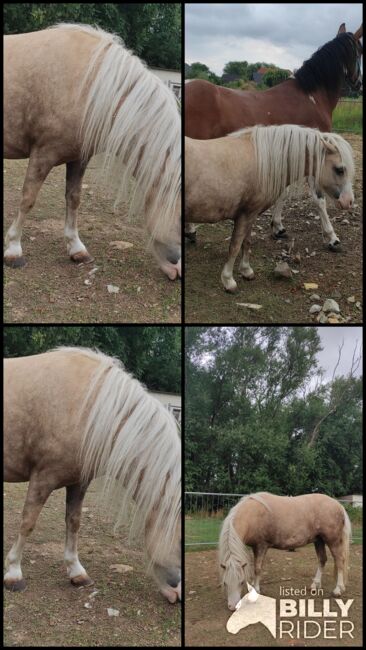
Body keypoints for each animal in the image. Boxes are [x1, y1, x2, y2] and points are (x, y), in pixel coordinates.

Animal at [2, 24, 180, 278]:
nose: (177, 268)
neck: (90, 87)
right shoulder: (43, 154)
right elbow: (28, 199)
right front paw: (14, 249)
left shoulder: (79, 158)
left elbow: (74, 199)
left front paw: (76, 249)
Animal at [2, 346, 180, 600]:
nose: (177, 591)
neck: (90, 409)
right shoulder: (43, 477)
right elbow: (28, 522)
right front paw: (14, 573)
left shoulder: (79, 482)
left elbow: (74, 523)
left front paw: (76, 572)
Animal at [184, 23, 362, 251]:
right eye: (360, 52)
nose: (359, 83)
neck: (311, 96)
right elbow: (318, 199)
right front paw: (331, 237)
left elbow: (282, 192)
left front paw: (278, 227)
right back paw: (190, 231)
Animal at [186, 123, 354, 288]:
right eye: (339, 169)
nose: (349, 201)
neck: (261, 162)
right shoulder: (245, 215)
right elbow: (235, 245)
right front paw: (228, 280)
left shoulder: (250, 214)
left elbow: (246, 242)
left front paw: (246, 270)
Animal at [220, 492, 352, 608]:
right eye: (225, 583)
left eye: (241, 582)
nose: (233, 606)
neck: (253, 515)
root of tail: (338, 505)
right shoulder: (255, 547)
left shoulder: (261, 546)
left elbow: (257, 569)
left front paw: (256, 591)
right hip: (319, 540)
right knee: (322, 559)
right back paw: (314, 586)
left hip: (332, 541)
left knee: (339, 561)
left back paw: (338, 590)